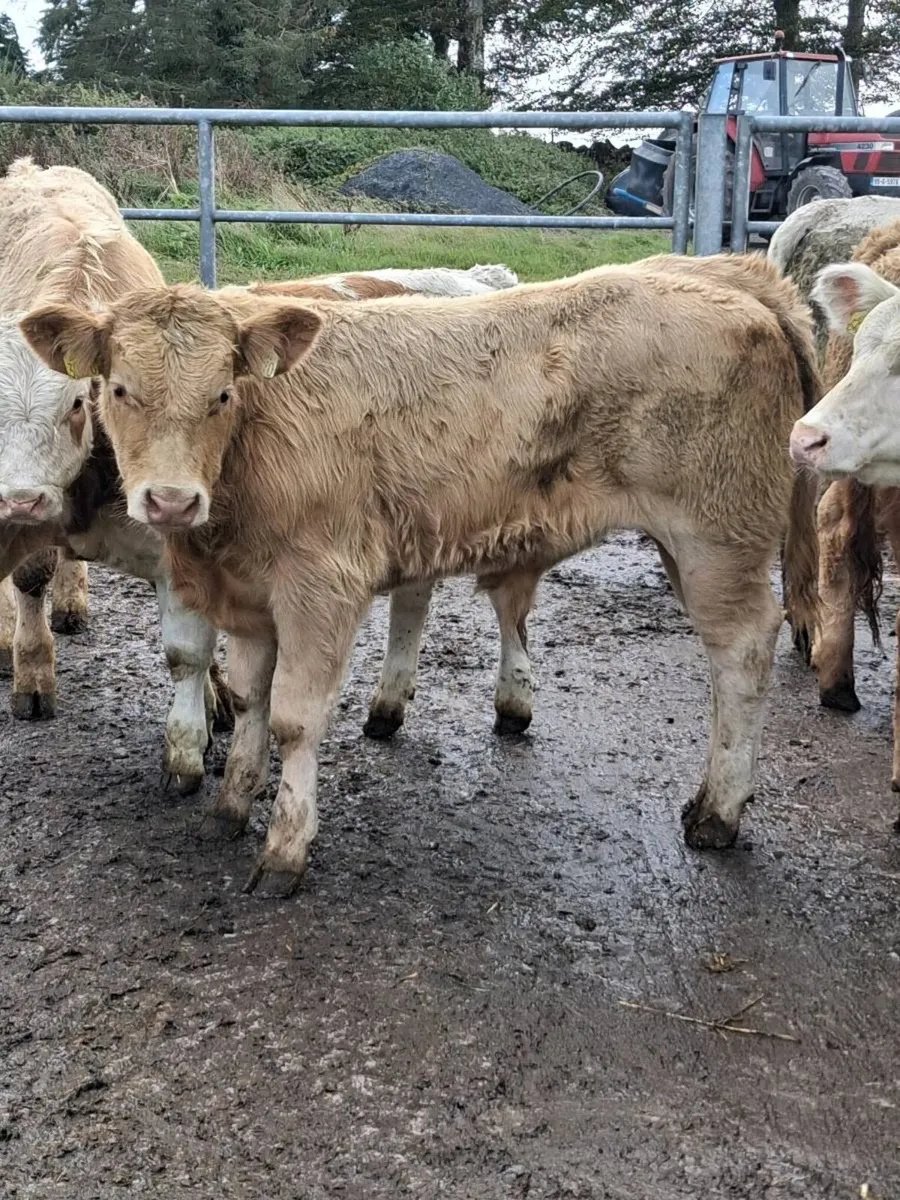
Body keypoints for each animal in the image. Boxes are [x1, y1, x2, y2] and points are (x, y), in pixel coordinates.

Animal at [21, 251, 820, 891]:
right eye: (117, 390)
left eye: (222, 393)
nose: (171, 500)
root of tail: (730, 276)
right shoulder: (246, 592)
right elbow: (249, 700)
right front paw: (230, 805)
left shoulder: (321, 586)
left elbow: (293, 718)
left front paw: (285, 847)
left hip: (717, 538)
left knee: (744, 650)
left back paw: (718, 811)